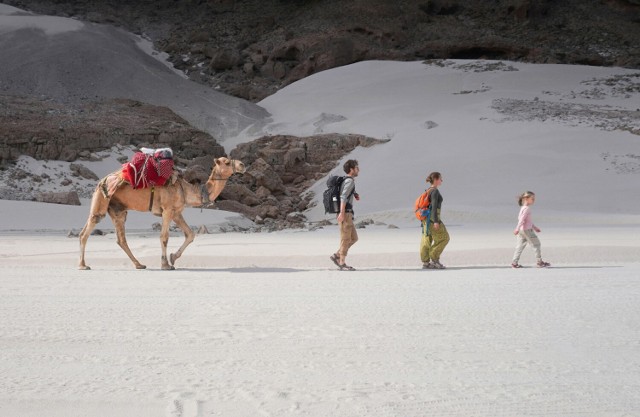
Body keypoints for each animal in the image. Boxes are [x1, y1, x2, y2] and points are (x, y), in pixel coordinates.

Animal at [78, 156, 248, 270]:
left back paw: (139, 264)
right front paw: (165, 264)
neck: (186, 189)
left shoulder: (176, 212)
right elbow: (164, 237)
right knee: (86, 231)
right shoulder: (167, 210)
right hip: (101, 200)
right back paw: (83, 265)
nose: (242, 164)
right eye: (226, 162)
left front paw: (173, 258)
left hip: (118, 210)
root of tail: (101, 181)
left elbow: (190, 234)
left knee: (120, 239)